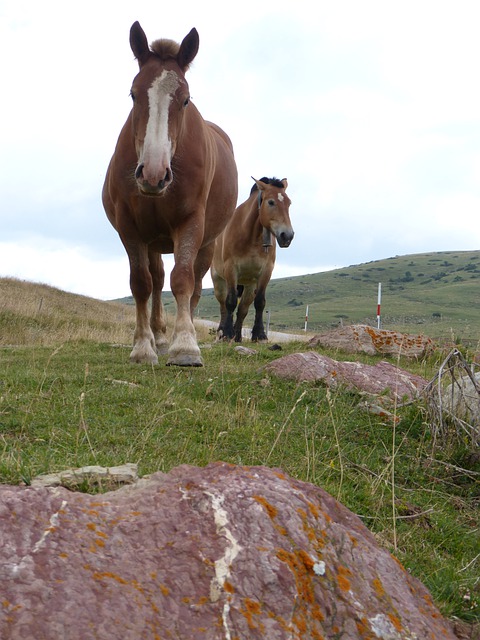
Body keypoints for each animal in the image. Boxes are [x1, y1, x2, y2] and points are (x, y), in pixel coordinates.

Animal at [102, 21, 237, 364]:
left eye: (185, 99)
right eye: (133, 94)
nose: (153, 174)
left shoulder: (190, 224)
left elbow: (184, 279)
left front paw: (186, 345)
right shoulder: (130, 228)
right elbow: (141, 283)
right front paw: (143, 346)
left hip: (208, 242)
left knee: (195, 283)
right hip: (152, 240)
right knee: (156, 278)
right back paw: (159, 337)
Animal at [212, 178, 294, 342]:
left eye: (289, 203)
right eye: (271, 202)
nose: (287, 236)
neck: (251, 237)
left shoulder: (265, 272)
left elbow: (259, 303)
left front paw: (259, 334)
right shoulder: (231, 270)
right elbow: (230, 302)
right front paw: (227, 333)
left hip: (249, 286)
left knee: (243, 309)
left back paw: (237, 336)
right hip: (218, 280)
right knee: (223, 305)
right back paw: (221, 332)